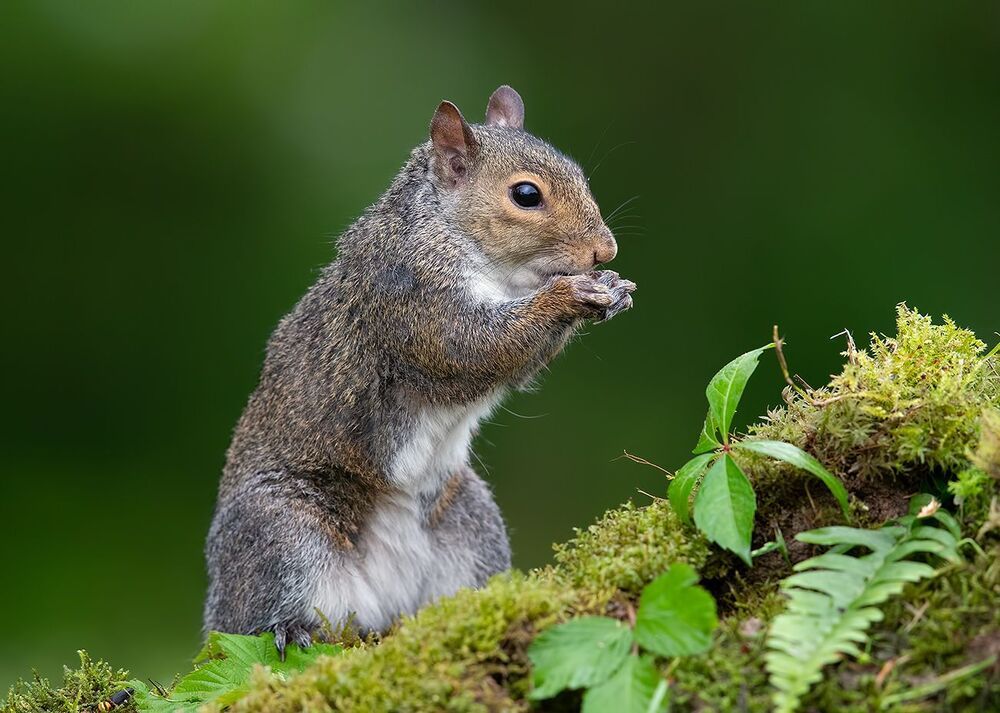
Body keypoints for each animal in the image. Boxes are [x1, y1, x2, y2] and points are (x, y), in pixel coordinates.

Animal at [203, 85, 636, 653]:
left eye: (580, 173)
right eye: (526, 195)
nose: (604, 250)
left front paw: (612, 288)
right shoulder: (411, 295)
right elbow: (475, 348)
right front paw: (570, 295)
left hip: (469, 524)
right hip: (281, 535)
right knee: (253, 618)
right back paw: (288, 628)